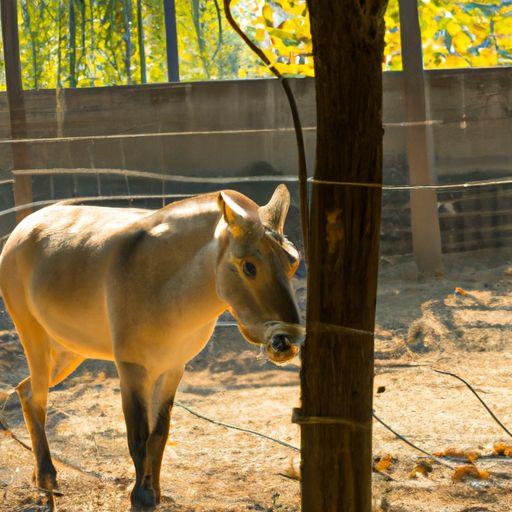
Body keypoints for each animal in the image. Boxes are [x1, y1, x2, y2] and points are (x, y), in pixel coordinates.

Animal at [0, 184, 304, 508]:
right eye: (249, 266)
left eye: (293, 261)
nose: (286, 341)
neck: (167, 285)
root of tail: (23, 227)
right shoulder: (132, 369)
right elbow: (138, 437)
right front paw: (141, 497)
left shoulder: (172, 368)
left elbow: (159, 434)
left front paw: (155, 492)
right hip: (34, 337)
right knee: (37, 399)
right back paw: (47, 478)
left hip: (68, 350)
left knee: (24, 391)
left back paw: (42, 474)